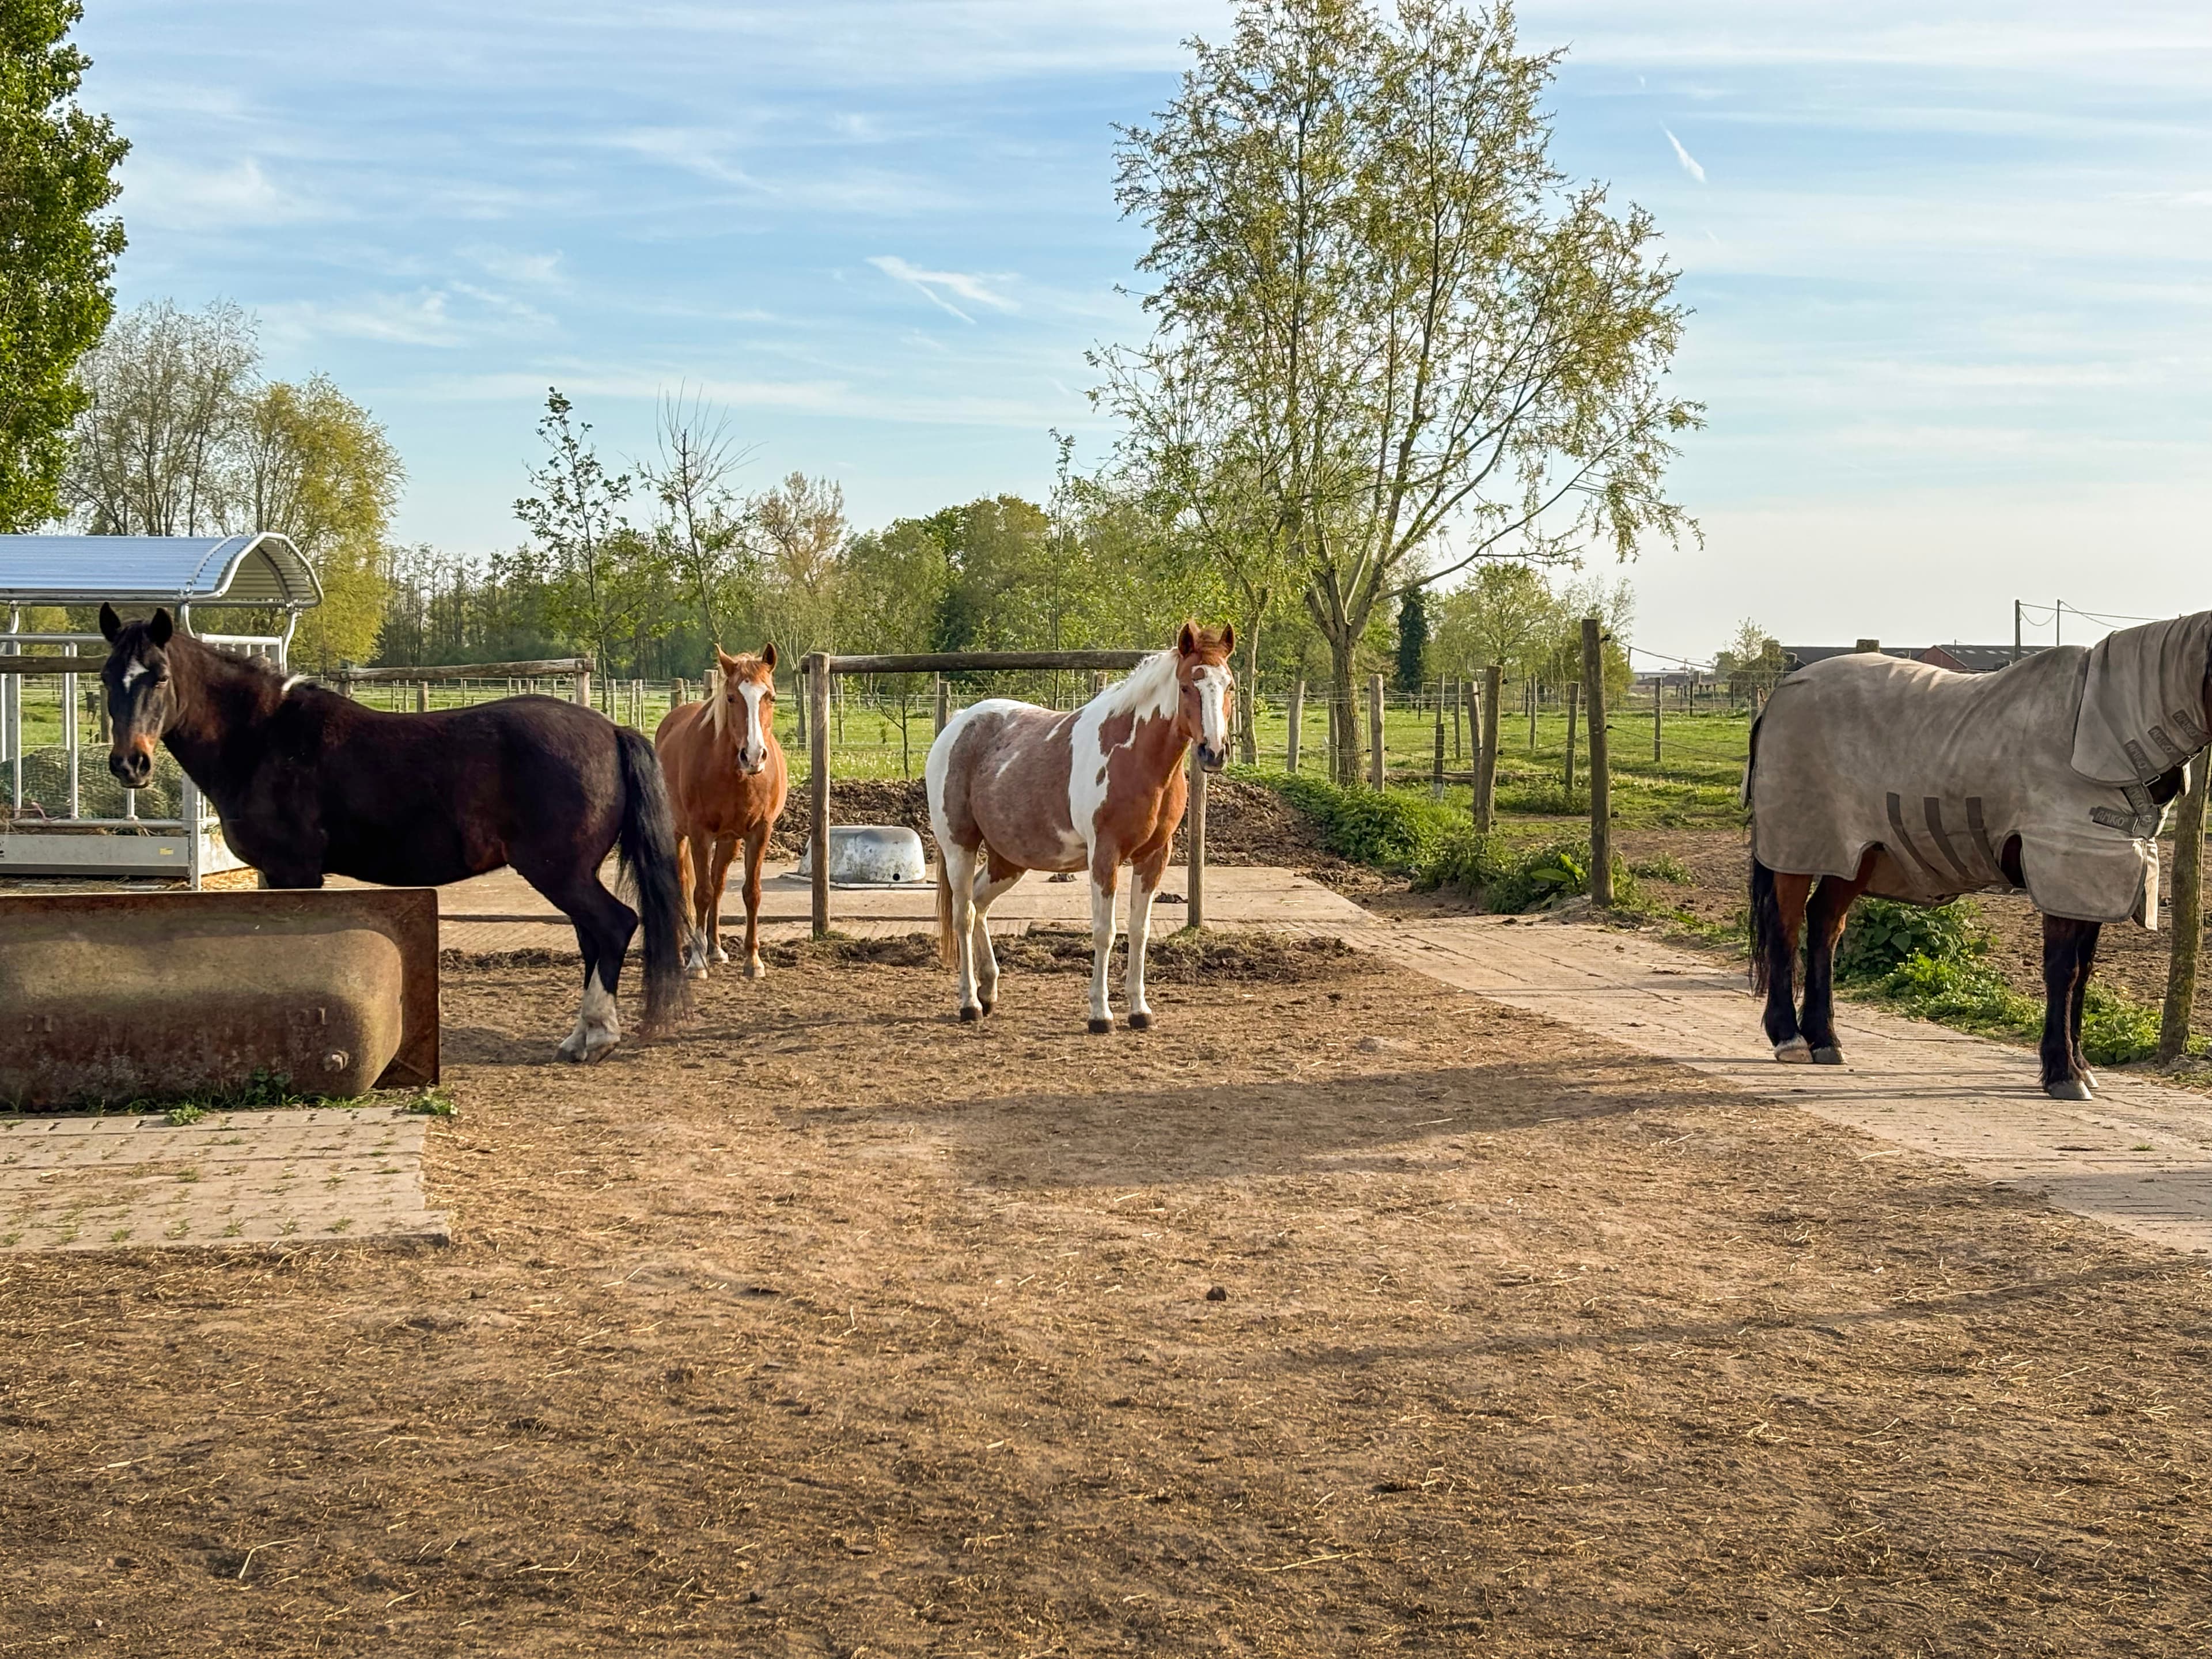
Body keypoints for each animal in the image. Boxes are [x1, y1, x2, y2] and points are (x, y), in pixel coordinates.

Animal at [97, 604, 688, 1063]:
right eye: (105, 678)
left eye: (160, 677)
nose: (130, 764)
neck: (264, 737)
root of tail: (610, 729)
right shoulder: (274, 874)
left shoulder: (295, 872)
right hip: (572, 874)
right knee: (594, 937)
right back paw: (583, 1035)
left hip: (559, 871)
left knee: (614, 926)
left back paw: (598, 1038)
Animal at [653, 644, 788, 981]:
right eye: (731, 698)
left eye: (771, 697)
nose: (753, 755)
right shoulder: (700, 834)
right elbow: (700, 893)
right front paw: (696, 963)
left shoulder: (759, 833)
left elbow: (751, 892)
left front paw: (753, 960)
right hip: (680, 834)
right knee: (686, 883)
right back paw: (684, 951)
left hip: (729, 841)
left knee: (719, 884)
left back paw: (714, 948)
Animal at [928, 621, 1235, 1032]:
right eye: (1187, 686)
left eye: (1229, 685)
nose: (1213, 752)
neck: (1134, 758)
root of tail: (960, 723)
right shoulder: (1104, 856)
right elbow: (1105, 933)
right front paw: (1100, 1014)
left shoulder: (1154, 856)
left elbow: (1139, 931)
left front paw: (1140, 1010)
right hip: (958, 845)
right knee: (963, 915)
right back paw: (970, 1003)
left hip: (1007, 859)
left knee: (979, 905)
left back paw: (989, 992)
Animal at [1744, 614, 2210, 1101]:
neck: (2102, 732)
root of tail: (1781, 694)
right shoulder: (2061, 868)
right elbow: (2063, 970)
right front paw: (2062, 1072)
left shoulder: (2096, 878)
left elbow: (2083, 972)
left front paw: (2081, 1065)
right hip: (1798, 846)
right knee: (1785, 924)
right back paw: (1789, 1037)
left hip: (1856, 854)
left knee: (1825, 925)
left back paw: (1825, 1039)